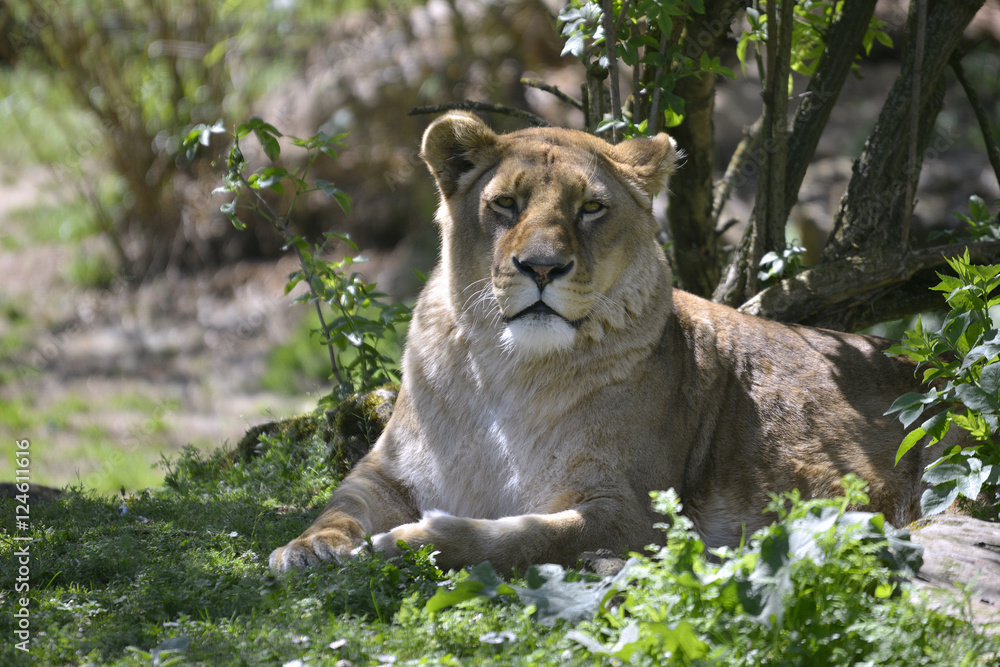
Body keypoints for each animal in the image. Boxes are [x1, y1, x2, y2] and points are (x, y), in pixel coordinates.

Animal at [269, 111, 939, 573]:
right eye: (505, 204)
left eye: (591, 207)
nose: (542, 267)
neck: (506, 372)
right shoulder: (387, 469)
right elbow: (340, 502)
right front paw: (307, 547)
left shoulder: (635, 514)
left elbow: (527, 534)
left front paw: (415, 541)